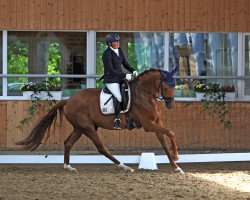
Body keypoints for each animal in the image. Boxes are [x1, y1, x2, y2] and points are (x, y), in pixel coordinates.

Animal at [17, 68, 184, 173]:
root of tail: (68, 100)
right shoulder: (149, 125)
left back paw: (68, 167)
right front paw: (177, 156)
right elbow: (171, 132)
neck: (143, 95)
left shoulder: (157, 123)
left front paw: (176, 166)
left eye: (174, 85)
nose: (171, 104)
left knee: (68, 143)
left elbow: (165, 141)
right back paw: (124, 167)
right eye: (165, 86)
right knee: (101, 148)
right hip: (88, 128)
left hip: (80, 128)